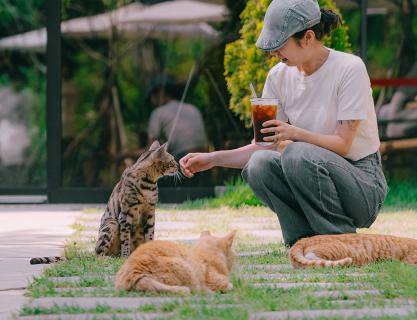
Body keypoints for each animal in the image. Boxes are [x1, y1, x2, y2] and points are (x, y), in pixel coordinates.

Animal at [29, 141, 177, 264]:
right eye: (172, 161)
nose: (178, 166)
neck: (149, 183)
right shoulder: (126, 214)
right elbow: (125, 239)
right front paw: (125, 257)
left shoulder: (150, 213)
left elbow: (150, 236)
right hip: (111, 224)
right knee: (99, 253)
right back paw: (109, 258)